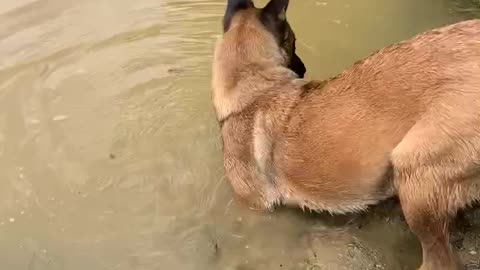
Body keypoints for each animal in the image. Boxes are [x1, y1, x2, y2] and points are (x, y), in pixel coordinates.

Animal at [212, 1, 480, 268]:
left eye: (293, 40)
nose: (303, 68)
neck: (256, 89)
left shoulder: (257, 207)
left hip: (414, 170)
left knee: (441, 261)